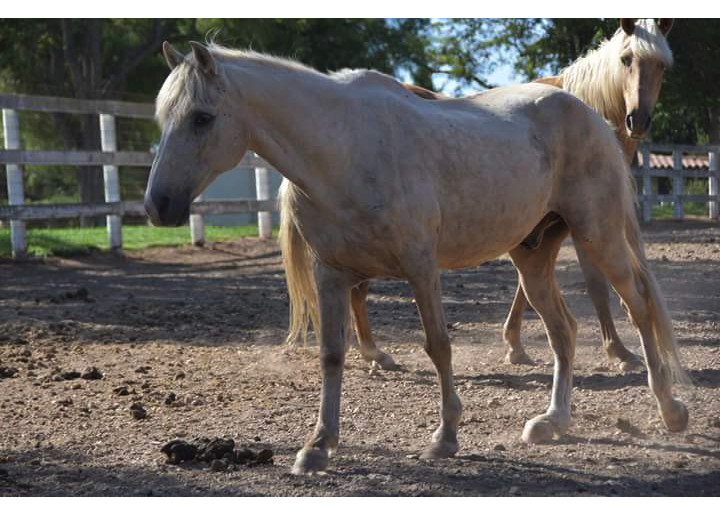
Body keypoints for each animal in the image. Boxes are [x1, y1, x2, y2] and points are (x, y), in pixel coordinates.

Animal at [304, 18, 675, 373]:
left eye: (662, 66)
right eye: (626, 59)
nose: (638, 120)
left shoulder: (539, 231)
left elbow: (528, 288)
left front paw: (515, 344)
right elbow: (595, 285)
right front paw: (619, 352)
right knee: (359, 290)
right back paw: (374, 353)